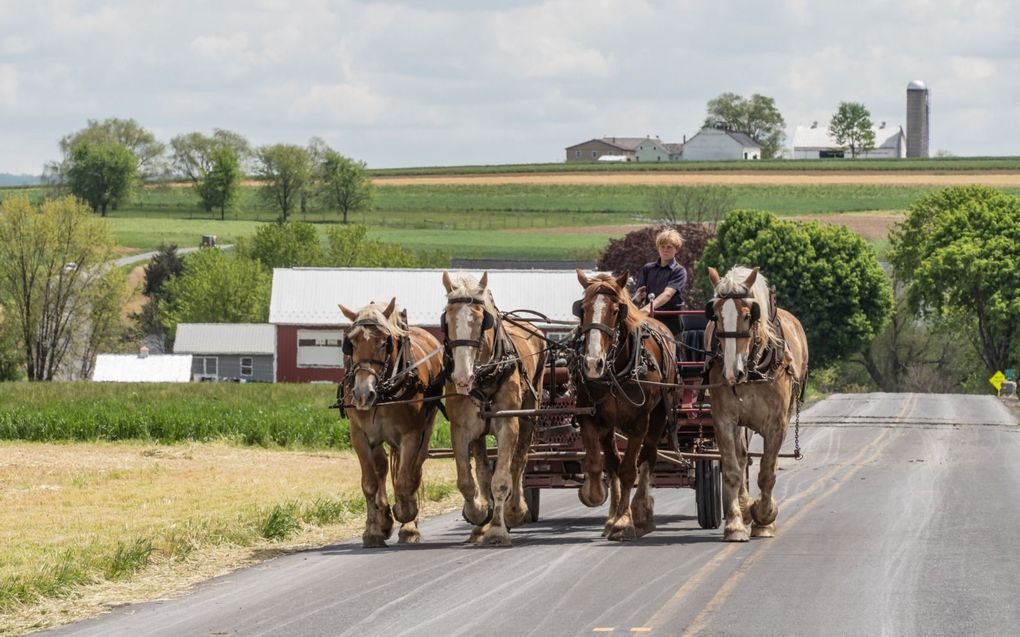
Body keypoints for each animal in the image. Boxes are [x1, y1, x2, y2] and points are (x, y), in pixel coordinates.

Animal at [338, 297, 442, 546]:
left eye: (385, 342)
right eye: (351, 343)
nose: (362, 393)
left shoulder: (411, 434)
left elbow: (405, 479)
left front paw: (407, 518)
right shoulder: (360, 436)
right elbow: (370, 483)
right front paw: (374, 530)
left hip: (427, 427)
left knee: (415, 470)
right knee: (383, 467)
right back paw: (384, 519)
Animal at [440, 271, 546, 542]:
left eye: (482, 320)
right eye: (447, 319)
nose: (462, 377)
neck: (484, 374)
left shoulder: (508, 424)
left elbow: (502, 479)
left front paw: (498, 527)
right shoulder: (461, 428)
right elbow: (467, 480)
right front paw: (479, 514)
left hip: (529, 417)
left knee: (519, 463)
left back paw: (514, 510)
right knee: (482, 469)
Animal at [575, 269, 677, 542]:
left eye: (615, 310)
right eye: (582, 308)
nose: (592, 363)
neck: (616, 371)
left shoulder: (640, 421)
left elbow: (630, 470)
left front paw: (624, 522)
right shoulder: (591, 417)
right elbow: (599, 463)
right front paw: (596, 495)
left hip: (659, 415)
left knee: (647, 456)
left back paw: (641, 513)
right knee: (613, 463)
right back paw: (613, 516)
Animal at [705, 264, 807, 538]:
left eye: (749, 315)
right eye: (716, 315)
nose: (732, 373)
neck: (753, 369)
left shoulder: (777, 424)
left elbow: (767, 472)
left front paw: (765, 517)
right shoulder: (724, 420)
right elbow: (732, 470)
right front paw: (736, 522)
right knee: (742, 459)